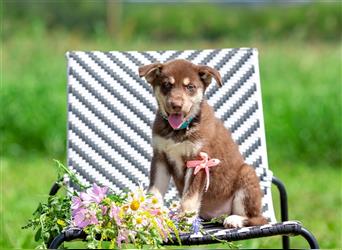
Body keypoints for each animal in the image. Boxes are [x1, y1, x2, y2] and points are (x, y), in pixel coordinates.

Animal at [138, 59, 268, 228]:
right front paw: (147, 217)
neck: (179, 130)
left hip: (247, 174)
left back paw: (235, 219)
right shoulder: (160, 158)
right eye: (167, 85)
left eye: (190, 87)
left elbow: (189, 197)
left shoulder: (199, 161)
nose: (176, 105)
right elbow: (154, 192)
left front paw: (186, 219)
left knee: (259, 219)